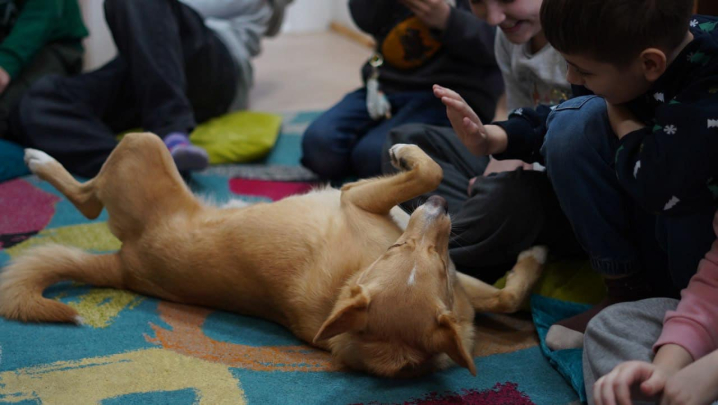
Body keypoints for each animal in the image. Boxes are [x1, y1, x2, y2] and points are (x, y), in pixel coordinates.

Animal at [0, 133, 548, 376]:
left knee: (88, 197)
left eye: (420, 255)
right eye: (398, 247)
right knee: (86, 196)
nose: (438, 209)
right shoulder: (357, 196)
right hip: (141, 145)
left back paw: (42, 159)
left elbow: (506, 298)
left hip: (140, 147)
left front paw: (535, 259)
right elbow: (428, 170)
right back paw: (40, 159)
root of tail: (128, 268)